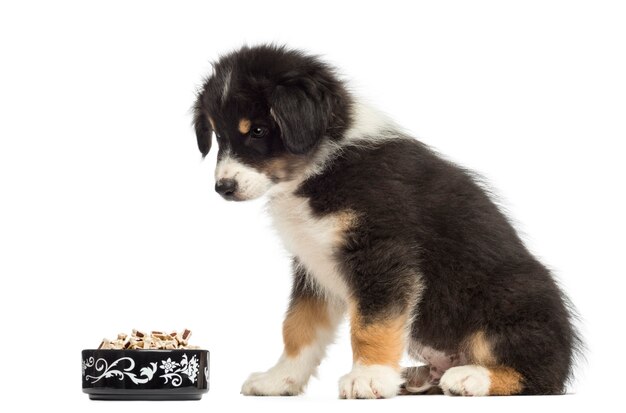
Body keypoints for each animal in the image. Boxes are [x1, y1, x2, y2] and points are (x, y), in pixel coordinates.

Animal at [193, 44, 576, 396]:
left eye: (258, 130)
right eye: (219, 135)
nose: (223, 188)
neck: (321, 169)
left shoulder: (381, 254)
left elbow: (371, 323)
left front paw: (368, 377)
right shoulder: (312, 265)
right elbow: (299, 326)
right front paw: (280, 380)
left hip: (510, 300)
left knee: (543, 375)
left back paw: (471, 377)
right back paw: (415, 377)